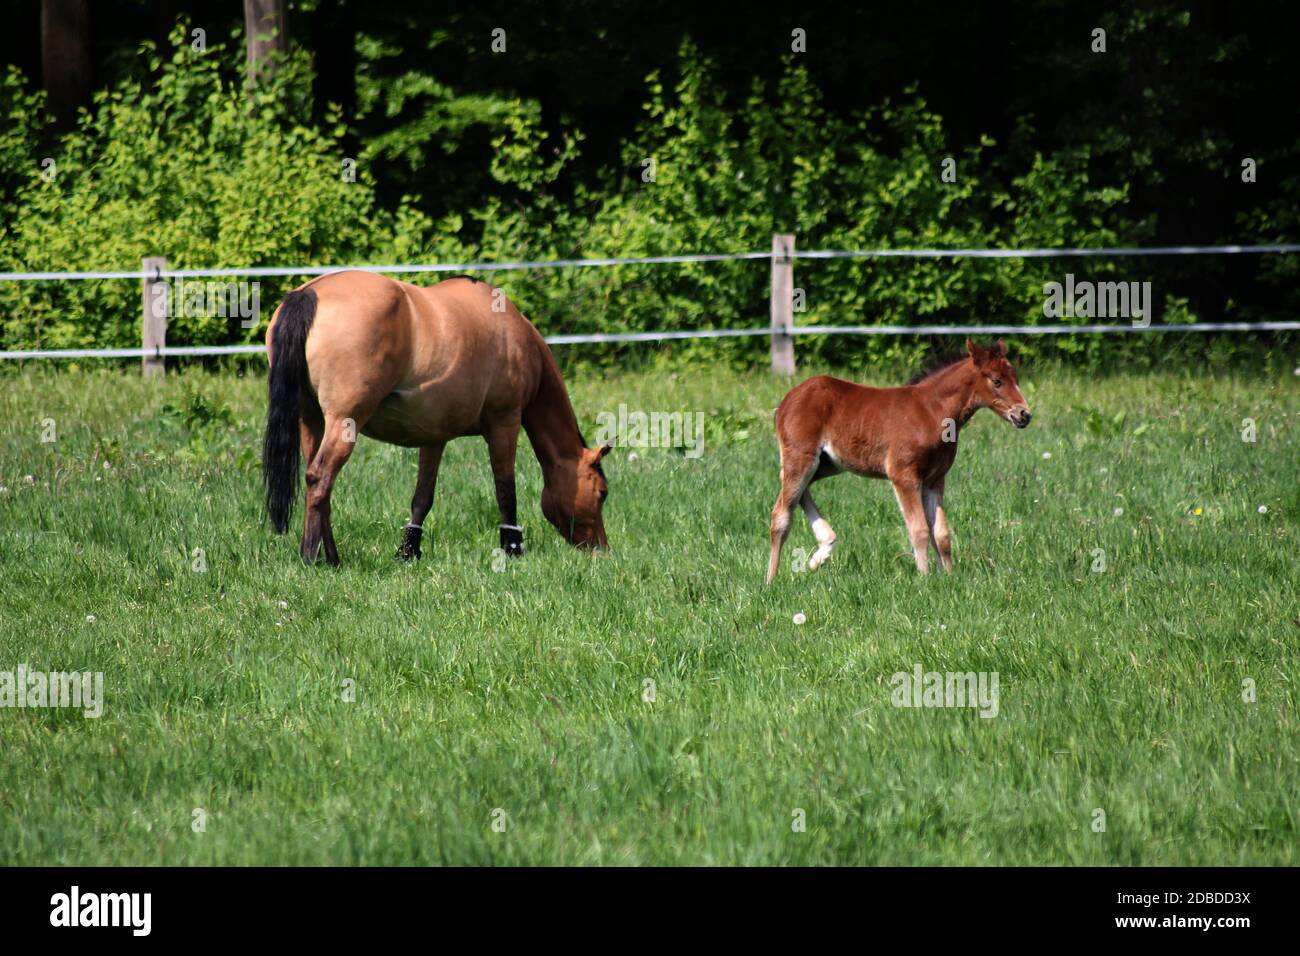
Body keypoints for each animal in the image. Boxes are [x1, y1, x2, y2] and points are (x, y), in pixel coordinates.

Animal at [261, 271, 611, 565]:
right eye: (602, 493)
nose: (602, 550)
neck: (511, 331)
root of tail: (309, 294)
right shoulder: (505, 423)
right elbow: (505, 491)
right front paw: (512, 548)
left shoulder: (434, 436)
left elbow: (422, 498)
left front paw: (408, 551)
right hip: (344, 422)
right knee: (321, 478)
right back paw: (311, 557)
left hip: (311, 420)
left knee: (317, 483)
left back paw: (331, 555)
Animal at [765, 339, 1031, 582]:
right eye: (996, 381)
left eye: (1016, 377)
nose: (1024, 414)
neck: (932, 412)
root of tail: (785, 402)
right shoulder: (903, 475)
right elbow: (919, 530)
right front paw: (924, 579)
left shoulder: (935, 479)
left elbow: (941, 533)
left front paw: (948, 576)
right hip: (802, 458)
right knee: (781, 513)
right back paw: (771, 580)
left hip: (828, 464)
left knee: (798, 491)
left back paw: (822, 550)